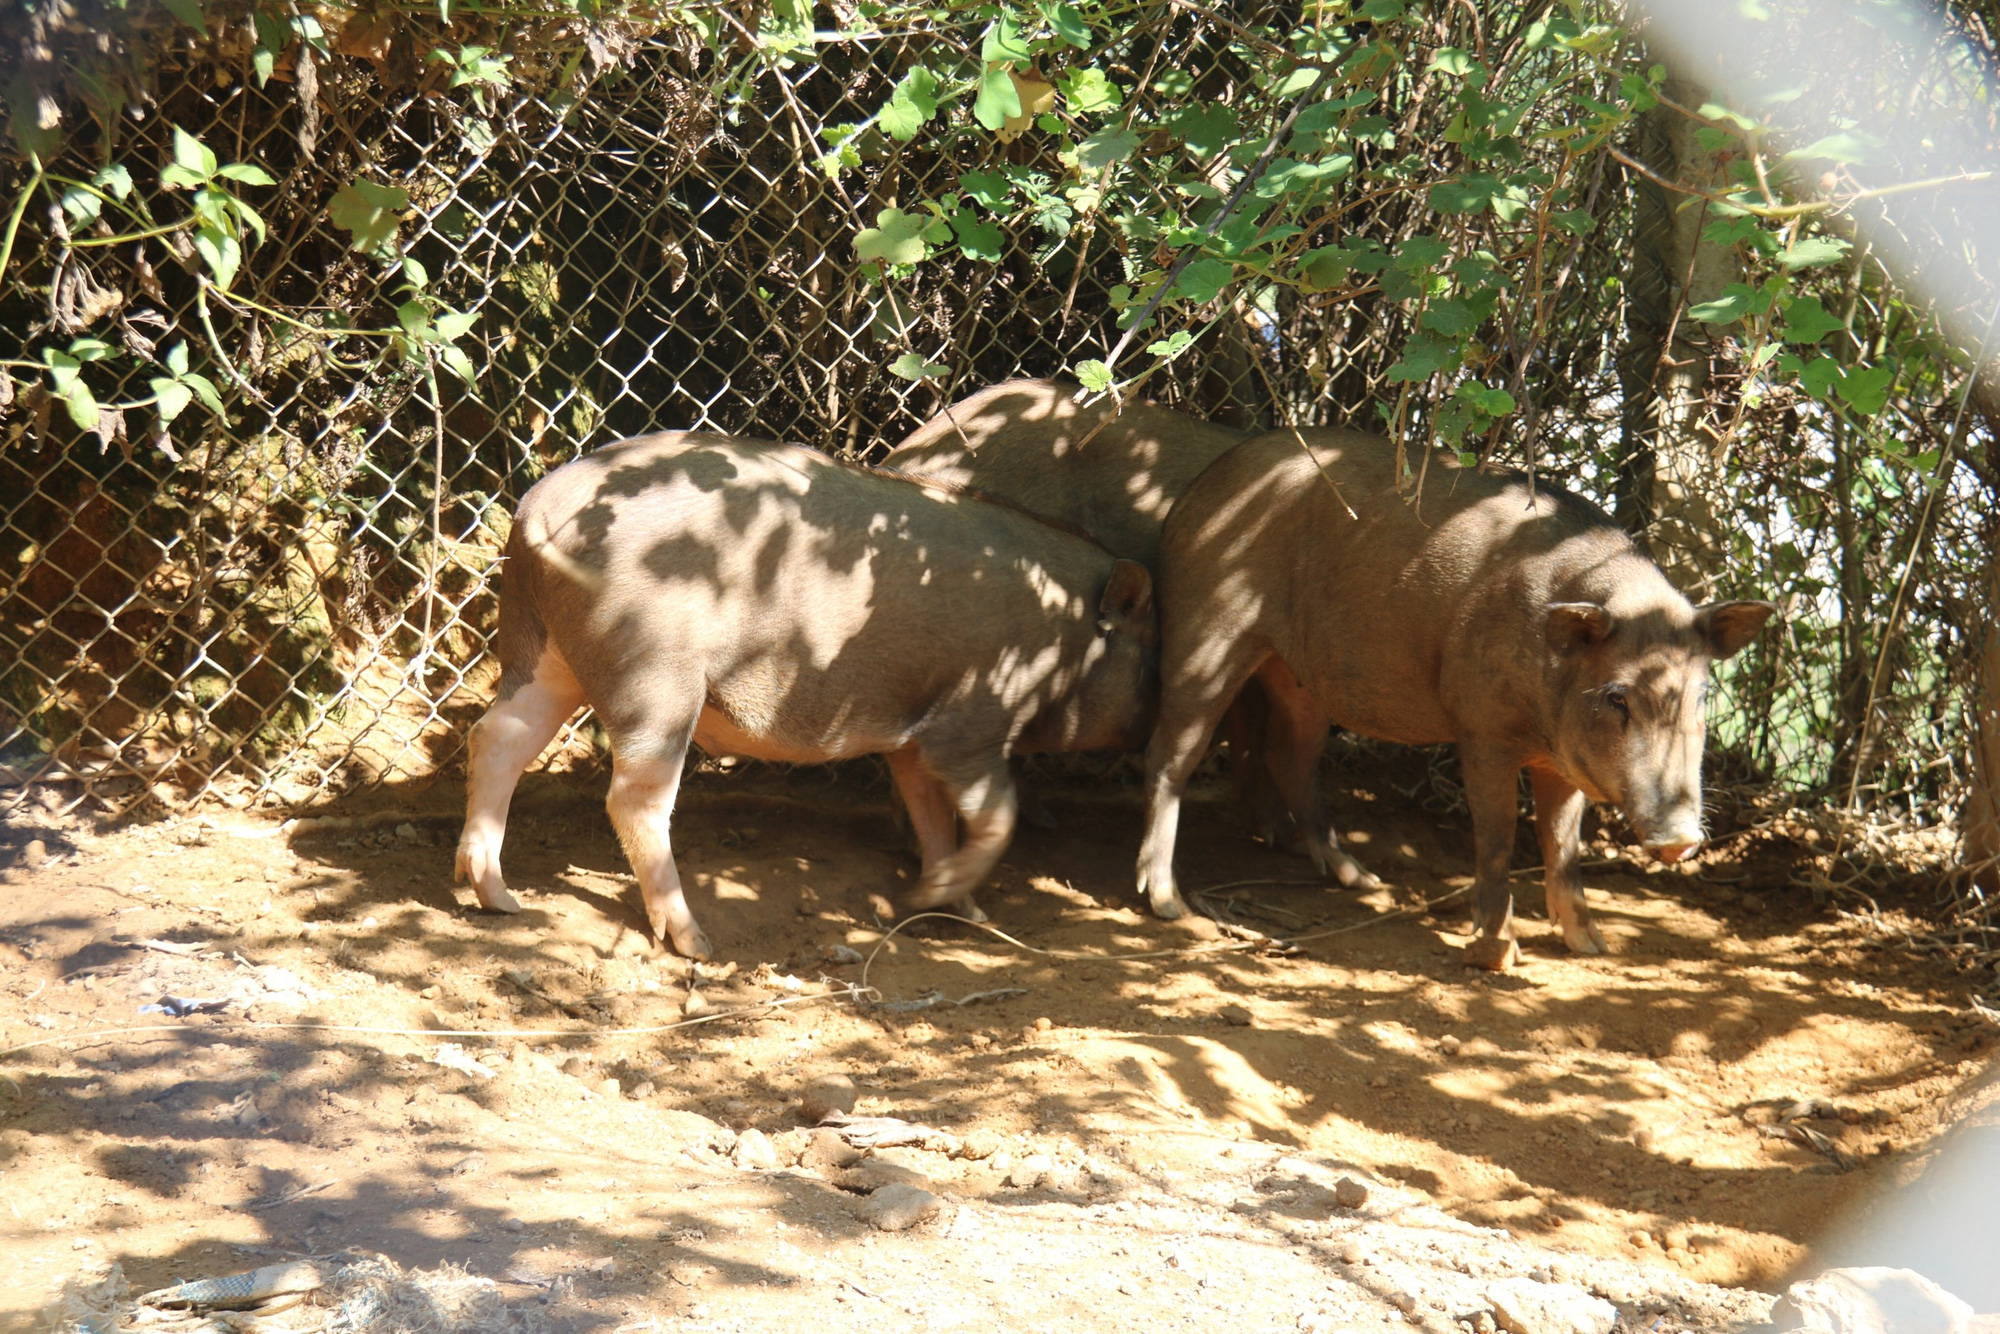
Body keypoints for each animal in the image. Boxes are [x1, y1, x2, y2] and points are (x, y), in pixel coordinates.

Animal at [454, 430, 1160, 960]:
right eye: (1150, 663)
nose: (1156, 725)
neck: (1066, 635)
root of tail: (536, 511)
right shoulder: (971, 724)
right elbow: (996, 816)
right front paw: (932, 903)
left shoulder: (912, 740)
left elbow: (933, 817)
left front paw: (956, 909)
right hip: (654, 675)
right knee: (634, 796)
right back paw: (698, 943)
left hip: (541, 649)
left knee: (497, 737)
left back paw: (496, 898)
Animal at [1136, 430, 1776, 972]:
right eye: (1617, 697)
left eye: (1701, 695)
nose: (1679, 838)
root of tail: (1189, 496)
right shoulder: (1481, 728)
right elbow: (1497, 837)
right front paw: (1499, 957)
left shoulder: (1561, 758)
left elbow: (1562, 845)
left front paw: (1592, 947)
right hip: (1205, 630)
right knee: (1170, 754)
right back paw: (1167, 904)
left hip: (1299, 676)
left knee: (1288, 757)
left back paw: (1363, 881)